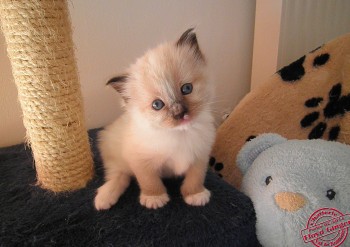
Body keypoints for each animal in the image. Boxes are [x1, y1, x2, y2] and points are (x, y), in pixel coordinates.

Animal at [95, 29, 216, 210]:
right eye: (157, 105)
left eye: (187, 89)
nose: (179, 113)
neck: (180, 134)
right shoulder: (139, 160)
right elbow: (149, 181)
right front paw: (155, 199)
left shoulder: (200, 156)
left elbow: (195, 178)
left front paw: (196, 195)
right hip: (117, 158)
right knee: (120, 176)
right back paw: (103, 200)